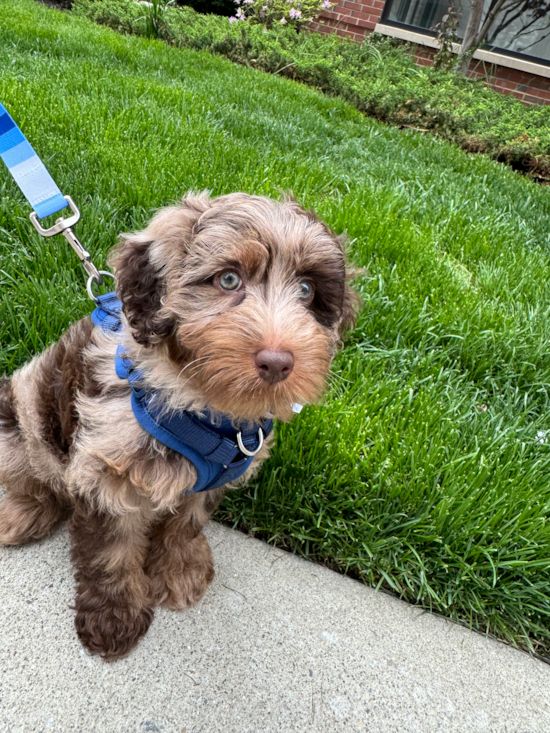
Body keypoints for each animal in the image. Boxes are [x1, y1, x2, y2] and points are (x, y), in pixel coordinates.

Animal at [0, 193, 362, 656]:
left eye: (306, 290)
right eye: (228, 279)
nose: (279, 362)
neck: (204, 404)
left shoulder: (213, 479)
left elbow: (185, 525)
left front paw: (178, 572)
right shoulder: (105, 472)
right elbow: (110, 550)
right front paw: (113, 616)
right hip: (22, 416)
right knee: (32, 477)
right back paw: (22, 514)